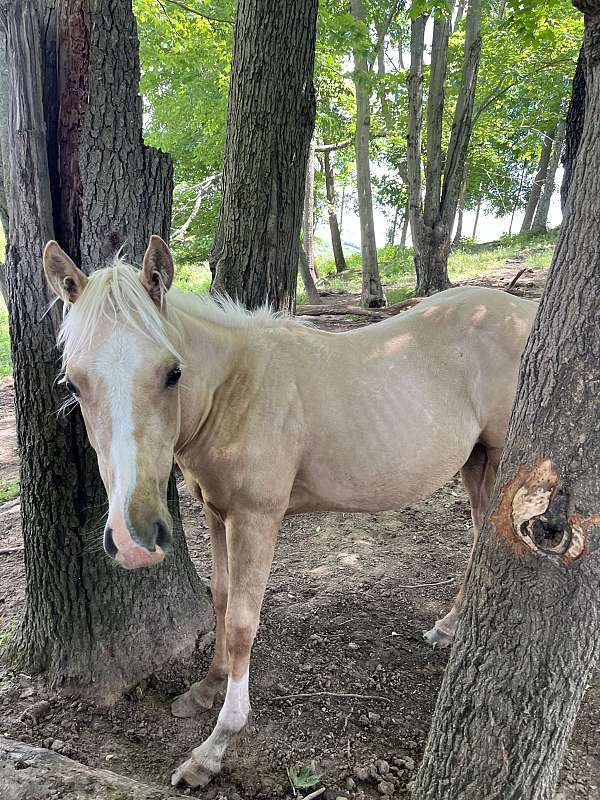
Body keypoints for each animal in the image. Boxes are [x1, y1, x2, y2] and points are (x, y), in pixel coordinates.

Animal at [43, 236, 540, 788]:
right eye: (73, 383)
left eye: (173, 373)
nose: (134, 540)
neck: (237, 390)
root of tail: (523, 310)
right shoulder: (217, 513)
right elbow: (221, 599)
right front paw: (206, 688)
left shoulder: (255, 520)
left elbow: (243, 621)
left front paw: (213, 748)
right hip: (475, 461)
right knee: (477, 538)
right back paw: (449, 627)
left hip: (502, 460)